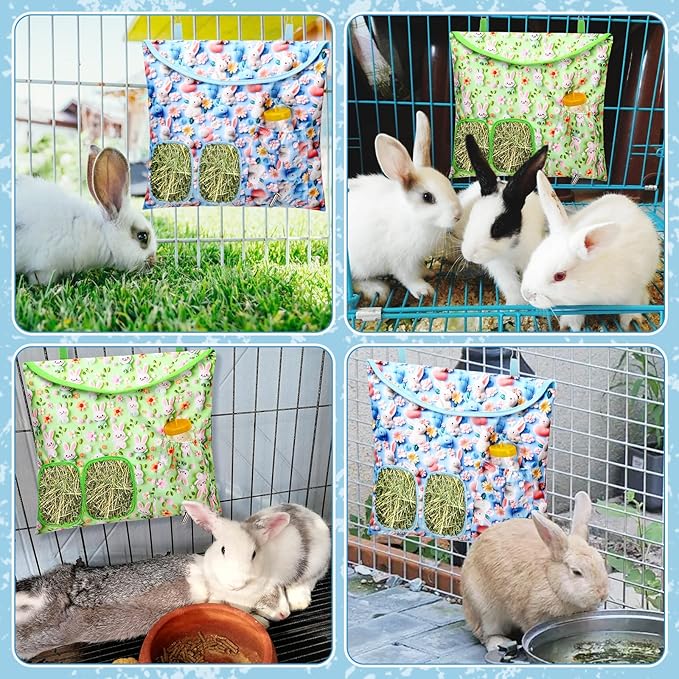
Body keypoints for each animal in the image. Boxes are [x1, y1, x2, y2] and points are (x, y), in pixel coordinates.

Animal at [183, 500, 331, 615]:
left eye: (253, 554)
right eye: (223, 549)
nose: (235, 584)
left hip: (315, 566)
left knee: (310, 580)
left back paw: (298, 602)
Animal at [348, 111, 462, 302]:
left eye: (448, 184)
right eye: (427, 197)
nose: (458, 215)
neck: (414, 218)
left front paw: (428, 272)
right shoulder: (402, 260)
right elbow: (408, 277)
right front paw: (424, 290)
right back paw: (377, 289)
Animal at [459, 135, 548, 305]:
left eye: (498, 227)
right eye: (471, 217)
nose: (469, 255)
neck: (509, 250)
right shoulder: (501, 267)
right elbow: (511, 285)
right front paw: (516, 304)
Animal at [461, 491, 609, 652]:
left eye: (601, 562)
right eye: (576, 572)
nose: (602, 594)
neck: (551, 580)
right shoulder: (533, 615)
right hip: (485, 610)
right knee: (486, 634)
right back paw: (499, 642)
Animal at [520, 171, 661, 331]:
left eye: (560, 276)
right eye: (534, 256)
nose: (526, 294)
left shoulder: (633, 291)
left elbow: (630, 308)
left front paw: (628, 324)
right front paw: (570, 325)